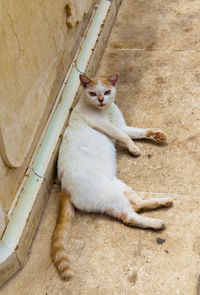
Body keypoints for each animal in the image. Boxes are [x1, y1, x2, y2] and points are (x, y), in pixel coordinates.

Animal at [51, 73, 172, 280]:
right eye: (93, 93)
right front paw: (134, 149)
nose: (101, 100)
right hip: (111, 195)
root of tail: (64, 189)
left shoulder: (121, 125)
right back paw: (156, 223)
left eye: (107, 92)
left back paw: (163, 202)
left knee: (137, 204)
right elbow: (125, 136)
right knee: (129, 217)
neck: (106, 111)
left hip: (121, 187)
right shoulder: (106, 126)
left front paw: (156, 135)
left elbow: (137, 131)